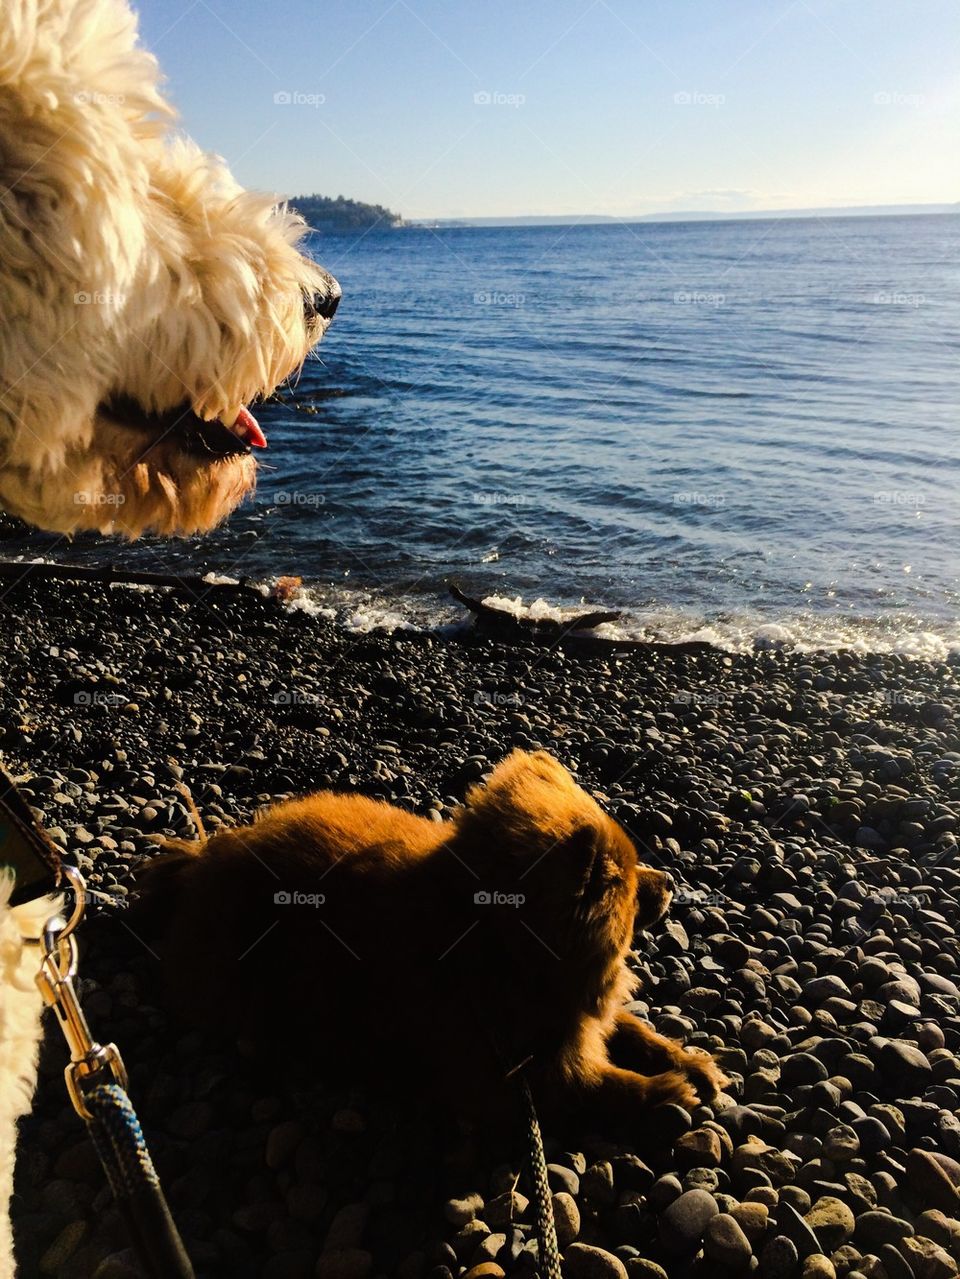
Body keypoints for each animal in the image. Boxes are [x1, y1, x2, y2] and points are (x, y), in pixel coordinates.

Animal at [131, 746, 726, 1140]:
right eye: (631, 883)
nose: (671, 881)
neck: (501, 953)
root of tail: (200, 863)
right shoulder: (508, 1079)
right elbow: (599, 1088)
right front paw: (668, 1092)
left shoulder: (576, 1020)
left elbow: (632, 1030)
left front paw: (690, 1063)